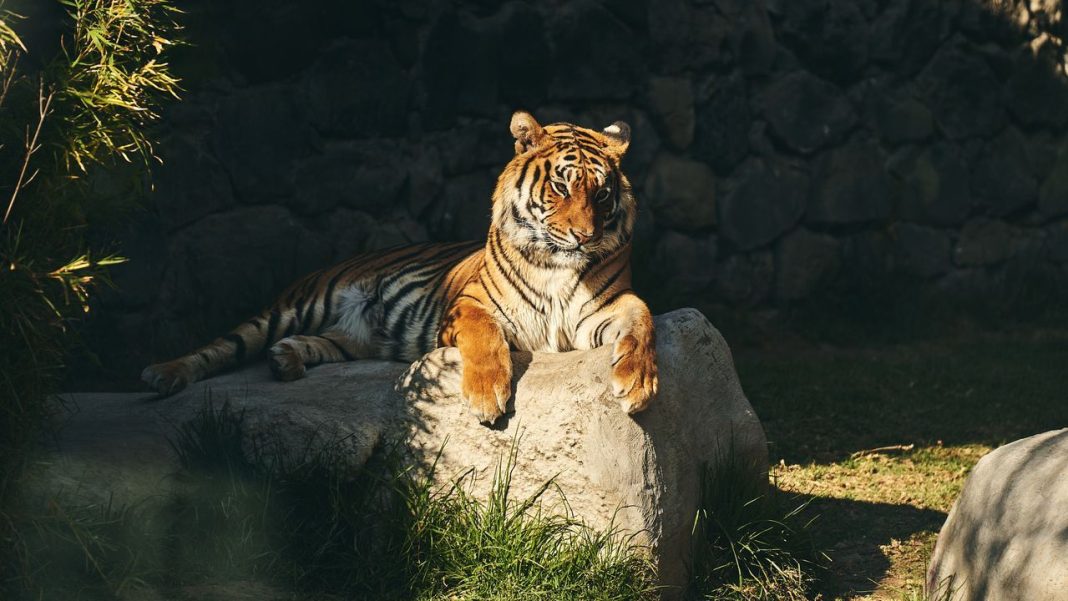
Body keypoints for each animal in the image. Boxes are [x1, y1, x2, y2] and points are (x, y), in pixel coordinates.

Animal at [142, 111, 658, 424]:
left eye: (602, 193)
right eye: (561, 186)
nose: (585, 236)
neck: (557, 268)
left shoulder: (607, 308)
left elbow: (643, 321)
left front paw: (638, 383)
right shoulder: (468, 307)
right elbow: (485, 337)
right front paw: (486, 396)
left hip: (351, 338)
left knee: (325, 345)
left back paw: (286, 360)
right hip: (294, 307)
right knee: (221, 346)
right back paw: (164, 374)